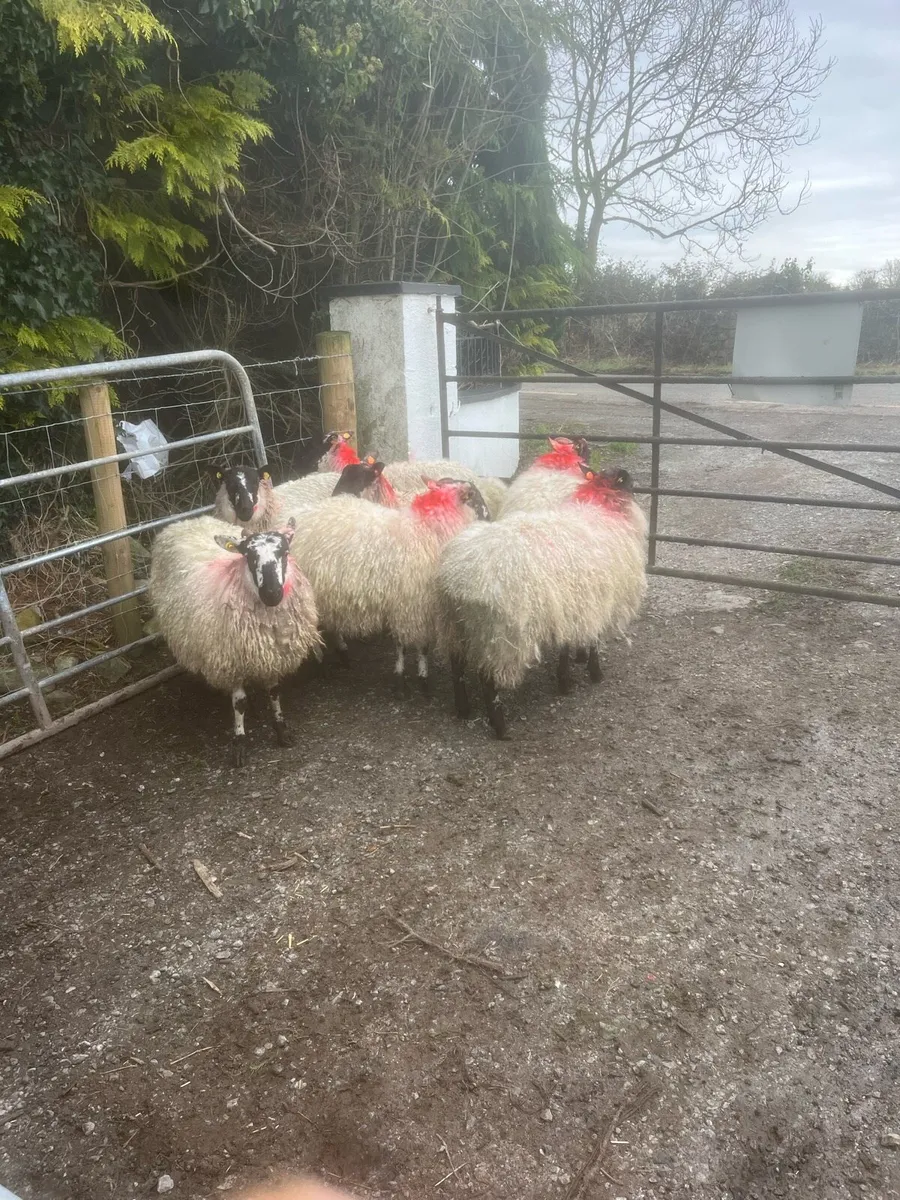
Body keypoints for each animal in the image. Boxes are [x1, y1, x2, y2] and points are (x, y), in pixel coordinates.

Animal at [149, 515, 321, 766]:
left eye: (285, 551)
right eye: (249, 556)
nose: (272, 594)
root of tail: (185, 522)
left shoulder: (273, 655)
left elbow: (274, 692)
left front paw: (281, 730)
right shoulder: (231, 660)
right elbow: (238, 702)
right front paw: (239, 742)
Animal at [287, 478, 489, 694]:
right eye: (472, 495)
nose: (489, 517)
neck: (427, 531)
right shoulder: (409, 604)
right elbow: (408, 645)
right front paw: (409, 678)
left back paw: (342, 653)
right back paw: (320, 662)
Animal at [436, 465, 647, 738]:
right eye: (628, 482)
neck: (600, 504)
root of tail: (458, 576)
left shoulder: (571, 605)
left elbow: (568, 645)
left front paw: (565, 680)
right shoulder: (598, 600)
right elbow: (594, 641)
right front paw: (594, 674)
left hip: (454, 623)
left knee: (456, 668)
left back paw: (463, 709)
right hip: (498, 633)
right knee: (487, 678)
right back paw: (500, 727)